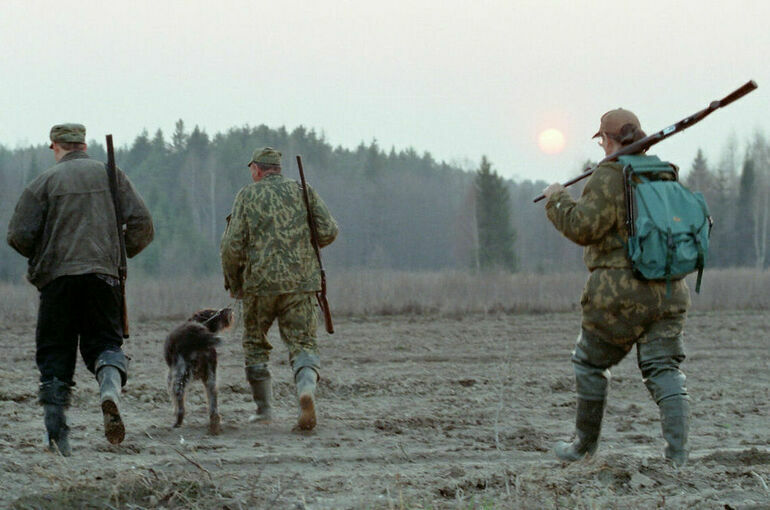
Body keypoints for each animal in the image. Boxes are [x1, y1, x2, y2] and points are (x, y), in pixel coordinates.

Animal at [164, 306, 232, 434]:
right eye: (213, 312)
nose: (228, 309)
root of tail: (198, 334)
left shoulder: (171, 375)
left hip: (180, 376)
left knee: (180, 401)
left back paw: (177, 423)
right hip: (210, 378)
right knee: (213, 403)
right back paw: (214, 426)